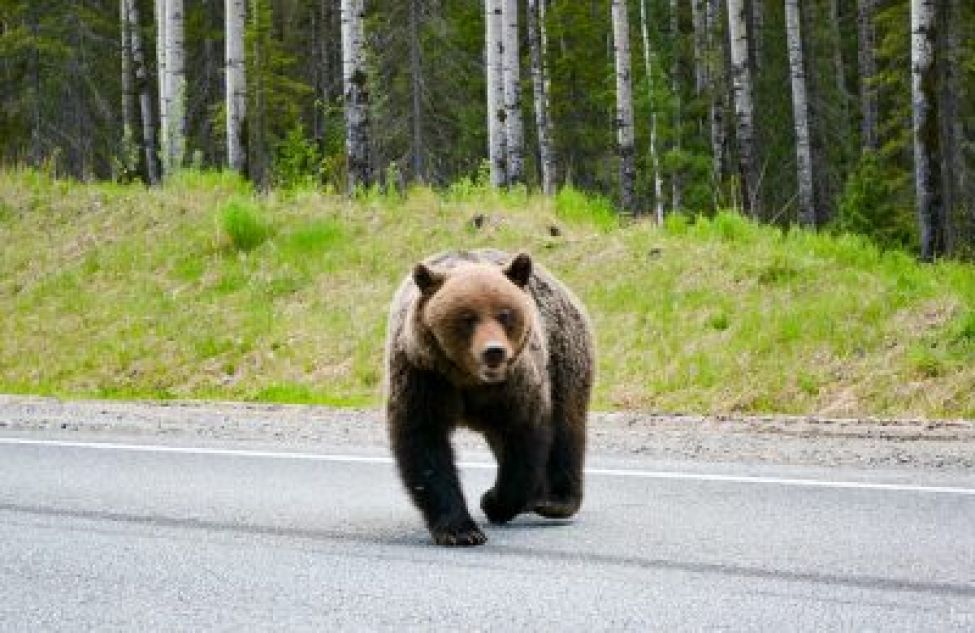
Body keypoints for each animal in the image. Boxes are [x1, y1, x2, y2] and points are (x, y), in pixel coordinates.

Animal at [386, 249, 592, 544]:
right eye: (467, 317)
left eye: (505, 314)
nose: (494, 351)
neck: (469, 379)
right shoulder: (423, 375)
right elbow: (424, 443)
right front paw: (461, 530)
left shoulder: (515, 383)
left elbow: (524, 437)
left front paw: (493, 501)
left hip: (564, 355)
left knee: (567, 426)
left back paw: (555, 501)